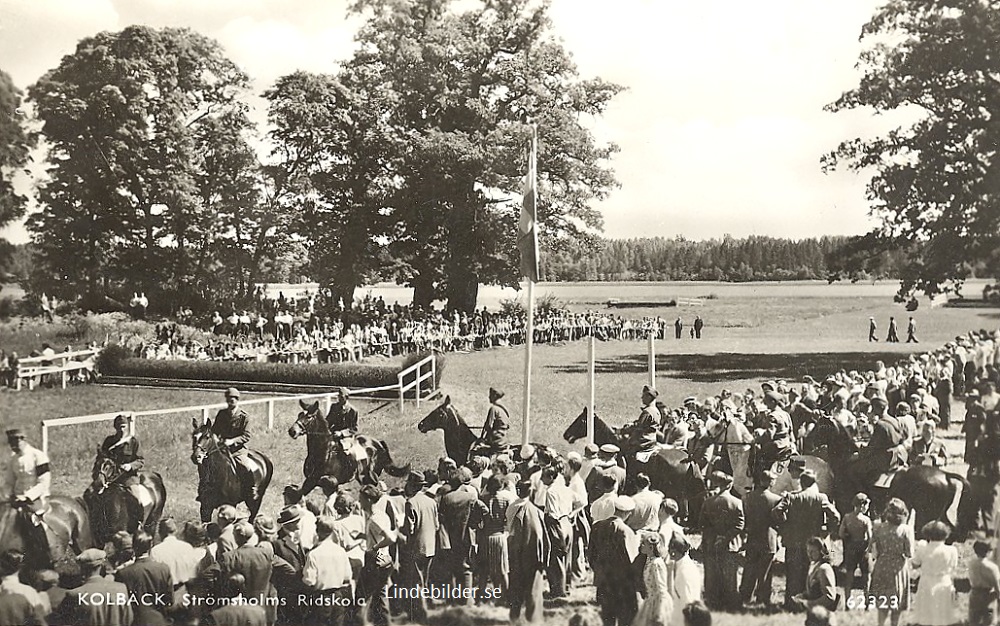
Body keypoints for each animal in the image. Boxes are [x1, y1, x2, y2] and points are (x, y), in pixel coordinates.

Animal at [796, 412, 968, 528]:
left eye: (820, 427)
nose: (807, 441)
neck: (846, 459)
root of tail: (946, 476)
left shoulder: (844, 500)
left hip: (928, 512)